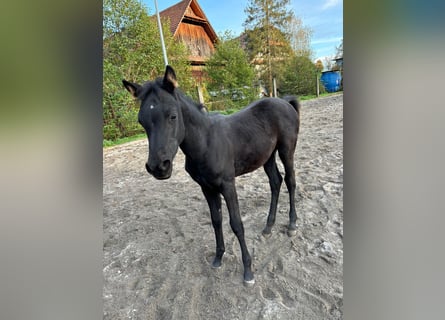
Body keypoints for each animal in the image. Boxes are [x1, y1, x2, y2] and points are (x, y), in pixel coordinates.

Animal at [123, 65, 300, 284]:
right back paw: (268, 227)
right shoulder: (207, 188)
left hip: (286, 150)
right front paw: (218, 258)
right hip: (267, 156)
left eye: (172, 115)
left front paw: (248, 271)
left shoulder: (228, 185)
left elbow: (236, 224)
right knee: (275, 182)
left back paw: (292, 224)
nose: (158, 167)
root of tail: (284, 102)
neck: (206, 143)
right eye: (141, 121)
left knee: (290, 181)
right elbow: (216, 221)